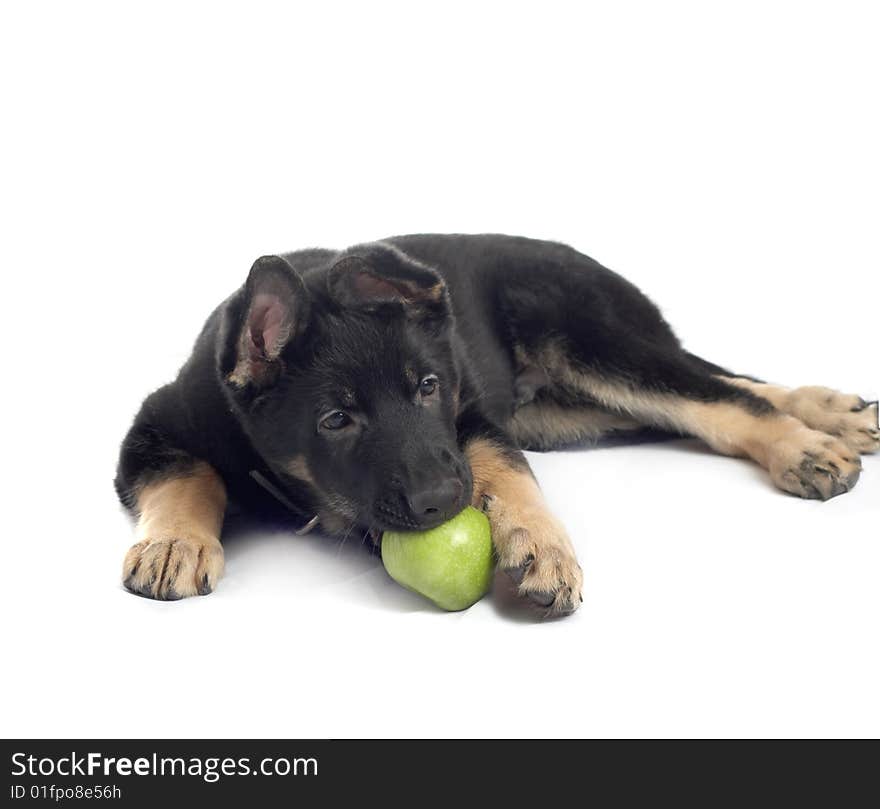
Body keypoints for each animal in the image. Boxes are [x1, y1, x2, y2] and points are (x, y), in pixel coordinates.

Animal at [117, 234, 880, 612]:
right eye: (335, 419)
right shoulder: (154, 424)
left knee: (718, 393)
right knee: (719, 391)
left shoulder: (472, 414)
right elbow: (187, 474)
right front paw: (175, 541)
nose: (439, 502)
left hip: (594, 345)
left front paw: (540, 545)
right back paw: (832, 416)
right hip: (578, 411)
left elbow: (504, 469)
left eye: (428, 386)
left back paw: (809, 441)